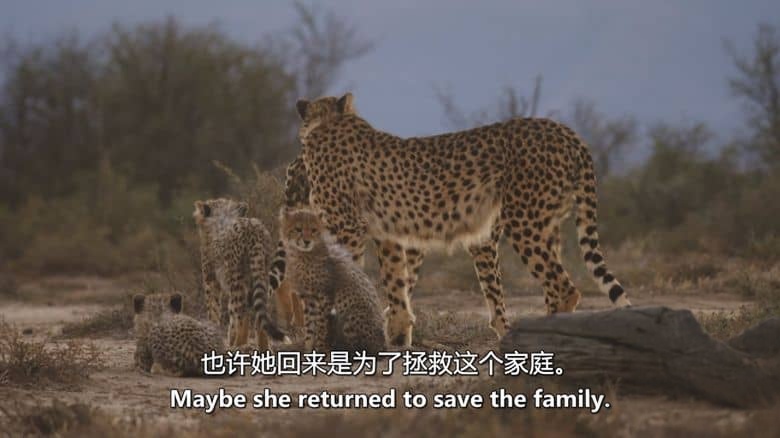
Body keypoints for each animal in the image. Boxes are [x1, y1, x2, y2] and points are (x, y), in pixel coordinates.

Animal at [193, 197, 285, 349]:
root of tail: (253, 229)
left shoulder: (211, 280)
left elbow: (213, 310)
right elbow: (231, 315)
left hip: (237, 281)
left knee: (243, 315)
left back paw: (238, 346)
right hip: (261, 275)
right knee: (259, 314)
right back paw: (263, 348)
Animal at [280, 207, 386, 354]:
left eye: (314, 230)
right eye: (298, 229)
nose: (307, 241)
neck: (303, 254)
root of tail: (383, 343)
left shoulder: (325, 296)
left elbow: (321, 326)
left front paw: (320, 349)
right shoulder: (309, 298)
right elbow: (310, 326)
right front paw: (308, 349)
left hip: (351, 315)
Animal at [287, 92, 631, 347]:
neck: (327, 123)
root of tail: (565, 130)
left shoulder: (347, 227)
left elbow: (349, 277)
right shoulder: (389, 235)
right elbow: (397, 287)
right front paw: (397, 337)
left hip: (524, 222)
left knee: (565, 288)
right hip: (546, 225)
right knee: (553, 286)